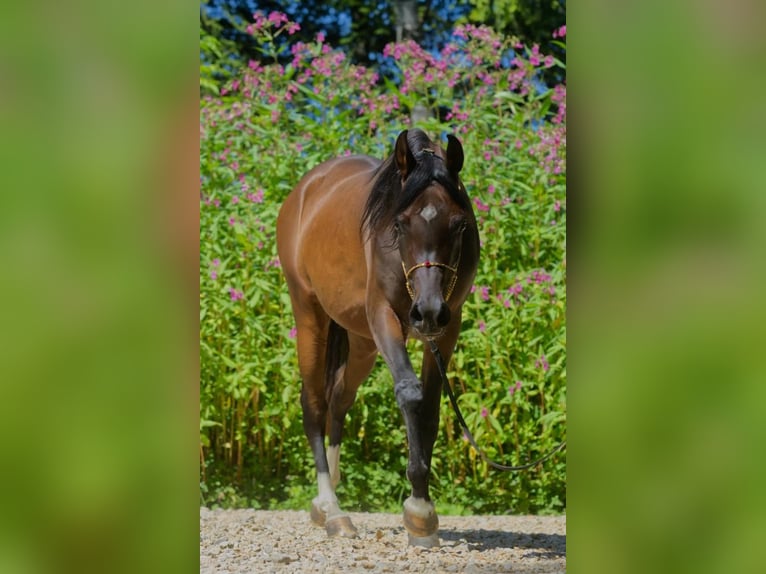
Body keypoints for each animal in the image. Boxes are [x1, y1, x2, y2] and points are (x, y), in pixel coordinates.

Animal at [276, 128, 479, 547]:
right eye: (399, 224)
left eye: (459, 224)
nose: (427, 312)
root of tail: (305, 190)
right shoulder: (384, 316)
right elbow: (410, 394)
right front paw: (418, 509)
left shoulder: (448, 327)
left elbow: (430, 409)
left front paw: (423, 511)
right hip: (310, 315)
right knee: (315, 404)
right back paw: (332, 508)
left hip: (362, 343)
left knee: (339, 399)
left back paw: (328, 499)